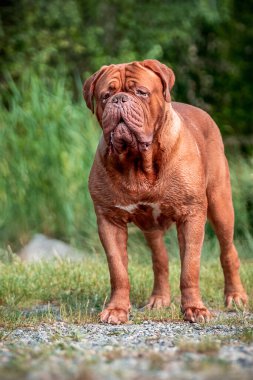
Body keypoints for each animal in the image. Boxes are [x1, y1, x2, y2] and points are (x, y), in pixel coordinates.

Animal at [82, 58, 247, 324]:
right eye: (105, 96)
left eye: (141, 92)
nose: (119, 100)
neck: (139, 163)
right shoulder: (109, 219)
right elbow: (118, 270)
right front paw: (117, 309)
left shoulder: (192, 214)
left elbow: (190, 267)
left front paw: (194, 309)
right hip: (151, 226)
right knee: (160, 259)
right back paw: (159, 299)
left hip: (221, 204)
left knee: (228, 251)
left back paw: (236, 297)